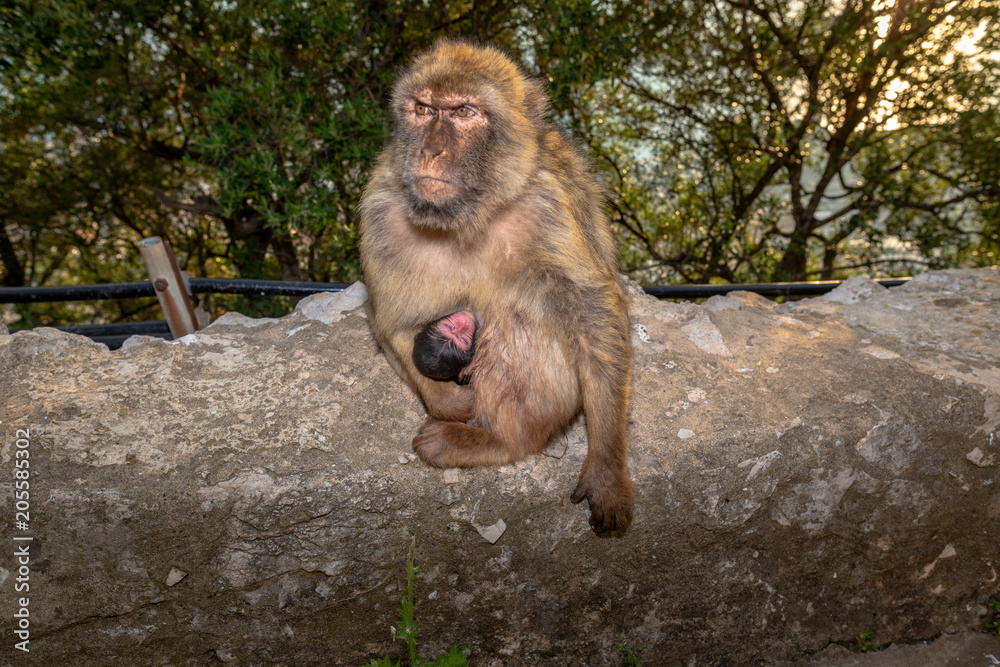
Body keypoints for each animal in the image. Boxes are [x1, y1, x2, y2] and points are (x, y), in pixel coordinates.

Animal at [359, 40, 633, 533]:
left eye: (465, 112)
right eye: (423, 109)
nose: (431, 150)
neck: (466, 218)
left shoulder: (547, 205)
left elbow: (593, 313)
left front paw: (607, 469)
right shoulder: (380, 214)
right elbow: (390, 322)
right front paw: (453, 402)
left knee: (517, 318)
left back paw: (503, 441)